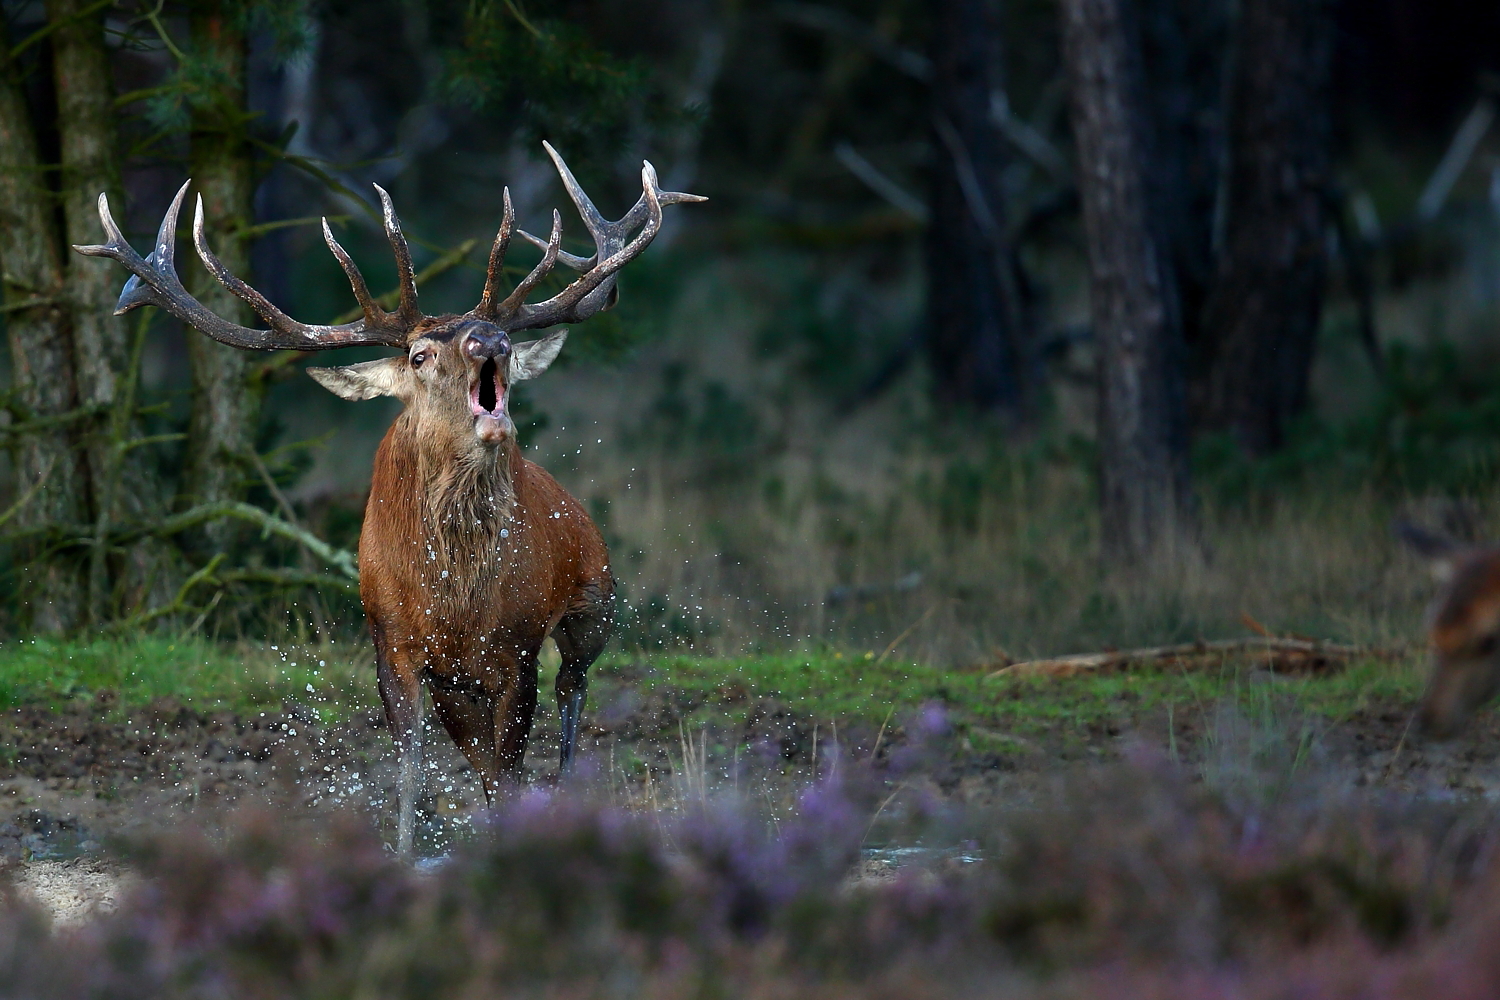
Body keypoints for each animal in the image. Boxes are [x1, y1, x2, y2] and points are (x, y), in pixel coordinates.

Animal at [74, 143, 705, 855]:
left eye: (493, 336)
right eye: (421, 353)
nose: (492, 341)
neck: (456, 600)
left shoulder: (516, 644)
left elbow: (512, 761)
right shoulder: (393, 640)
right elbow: (414, 756)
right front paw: (405, 849)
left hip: (592, 606)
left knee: (571, 695)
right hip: (464, 676)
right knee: (485, 747)